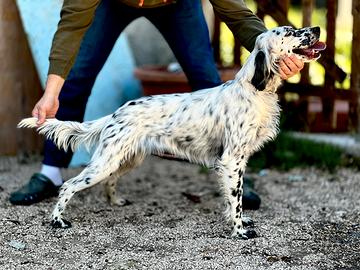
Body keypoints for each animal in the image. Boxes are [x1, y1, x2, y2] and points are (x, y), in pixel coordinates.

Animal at [18, 25, 324, 238]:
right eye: (291, 32)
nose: (318, 29)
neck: (254, 89)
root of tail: (116, 113)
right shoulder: (232, 160)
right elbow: (235, 201)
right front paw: (239, 231)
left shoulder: (234, 161)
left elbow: (231, 198)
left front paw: (238, 221)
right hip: (104, 163)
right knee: (68, 185)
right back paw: (58, 220)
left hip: (125, 159)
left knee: (109, 182)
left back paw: (116, 201)